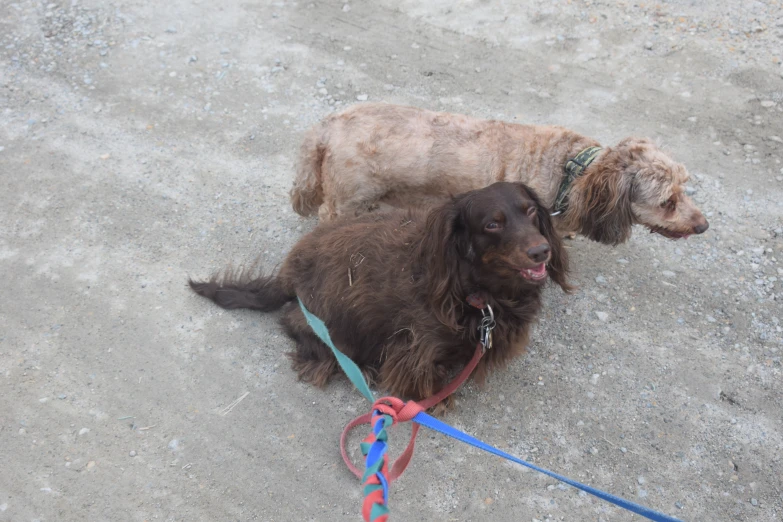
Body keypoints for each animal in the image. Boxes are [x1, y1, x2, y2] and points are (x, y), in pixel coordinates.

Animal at [190, 182, 568, 398]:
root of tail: (287, 276)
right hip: (332, 324)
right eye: (492, 224)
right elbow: (428, 383)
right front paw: (436, 402)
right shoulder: (417, 348)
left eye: (530, 211)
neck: (473, 288)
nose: (541, 251)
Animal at [290, 105, 708, 246]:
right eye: (668, 202)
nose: (703, 225)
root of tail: (328, 124)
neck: (572, 174)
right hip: (349, 200)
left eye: (685, 186)